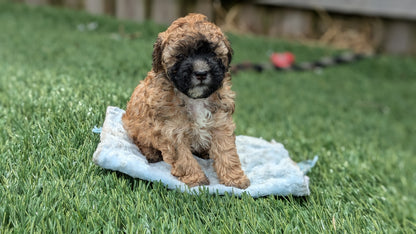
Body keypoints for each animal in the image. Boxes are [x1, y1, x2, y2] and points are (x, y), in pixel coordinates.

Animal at [122, 13, 249, 188]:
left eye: (212, 54)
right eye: (181, 56)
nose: (201, 73)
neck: (194, 99)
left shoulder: (221, 123)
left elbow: (226, 151)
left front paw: (234, 178)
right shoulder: (171, 131)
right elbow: (182, 157)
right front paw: (196, 179)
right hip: (135, 127)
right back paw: (152, 153)